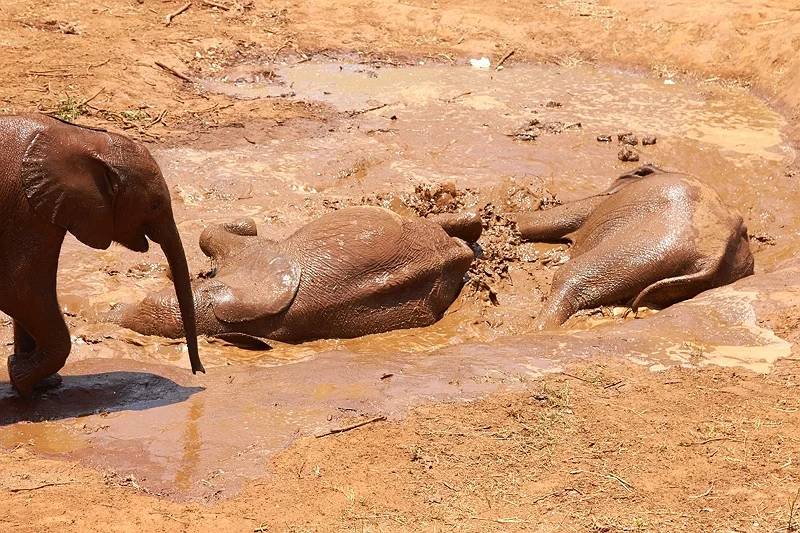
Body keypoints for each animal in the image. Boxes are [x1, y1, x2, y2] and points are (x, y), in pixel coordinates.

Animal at [0, 113, 203, 397]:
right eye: (154, 206)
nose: (199, 371)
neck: (83, 138)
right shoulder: (26, 205)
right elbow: (19, 288)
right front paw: (20, 376)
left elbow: (24, 296)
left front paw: (31, 379)